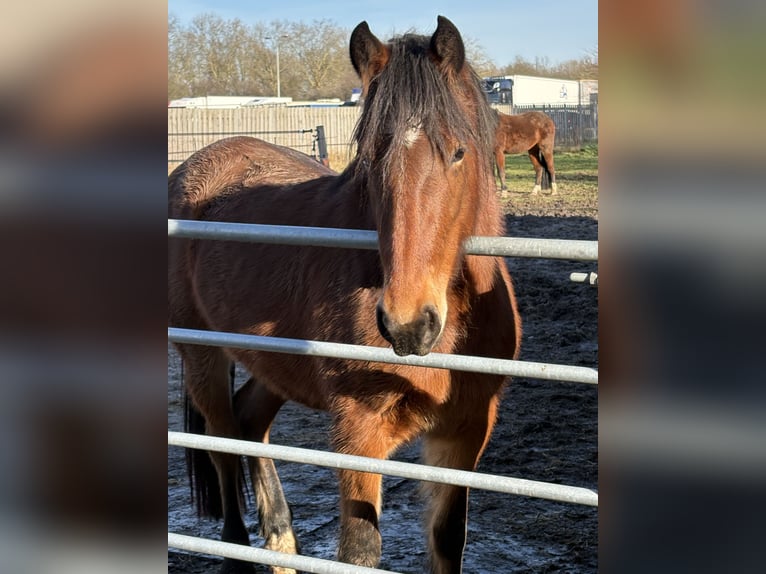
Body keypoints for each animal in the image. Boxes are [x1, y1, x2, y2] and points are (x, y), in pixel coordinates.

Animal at [168, 16, 521, 574]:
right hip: (202, 356)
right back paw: (238, 550)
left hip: (273, 364)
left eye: (459, 152)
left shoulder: (465, 432)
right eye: (370, 157)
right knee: (221, 444)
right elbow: (358, 549)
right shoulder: (359, 432)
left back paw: (281, 541)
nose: (407, 325)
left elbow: (448, 538)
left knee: (249, 421)